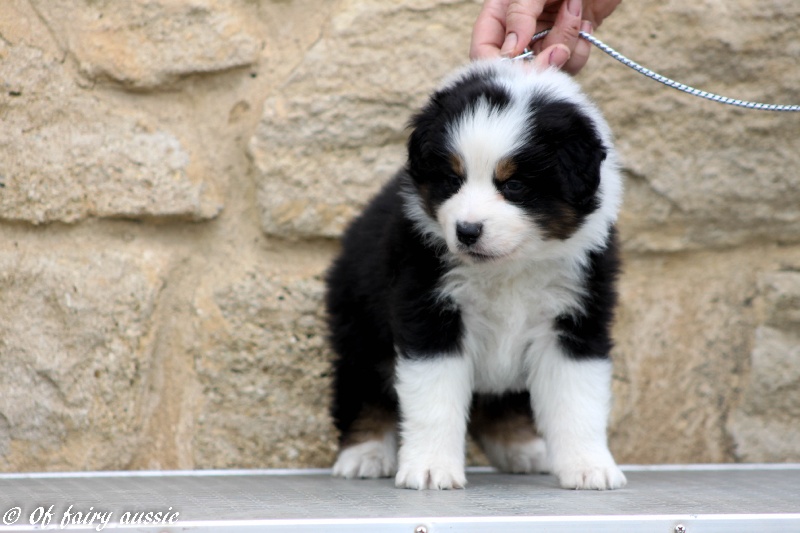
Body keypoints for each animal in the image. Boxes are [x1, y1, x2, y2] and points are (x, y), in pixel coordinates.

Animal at [325, 59, 626, 491]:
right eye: (453, 179)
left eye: (514, 185)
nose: (467, 231)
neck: (508, 267)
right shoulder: (429, 313)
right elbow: (434, 401)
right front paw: (430, 468)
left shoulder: (576, 319)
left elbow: (577, 399)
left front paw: (589, 467)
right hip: (361, 327)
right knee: (363, 390)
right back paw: (364, 453)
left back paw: (523, 448)